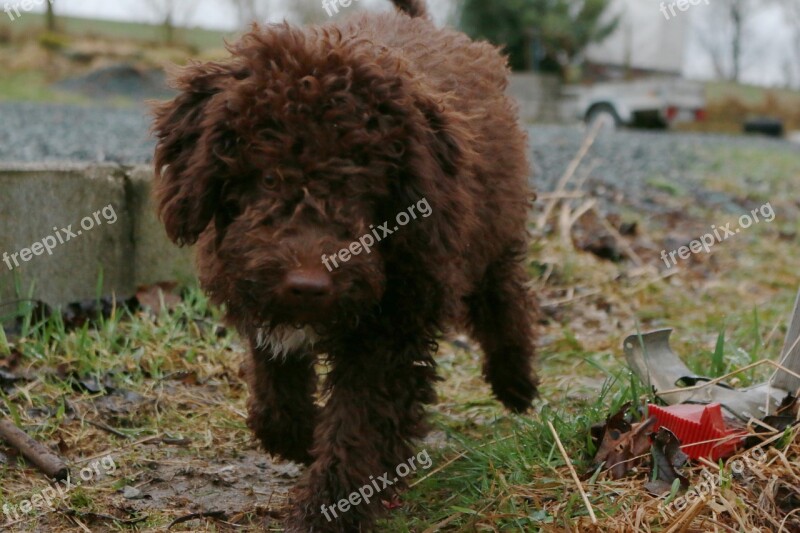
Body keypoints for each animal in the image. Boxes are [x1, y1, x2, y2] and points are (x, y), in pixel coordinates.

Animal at [150, 1, 536, 528]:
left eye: (360, 186)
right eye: (267, 178)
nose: (309, 284)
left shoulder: (393, 327)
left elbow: (359, 424)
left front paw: (329, 511)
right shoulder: (261, 298)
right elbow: (276, 395)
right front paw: (299, 438)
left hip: (493, 233)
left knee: (505, 296)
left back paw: (516, 383)